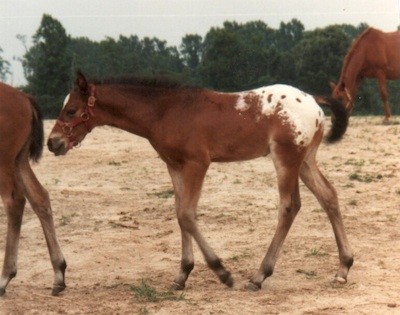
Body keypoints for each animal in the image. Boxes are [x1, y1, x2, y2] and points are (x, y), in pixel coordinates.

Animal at [0, 82, 66, 298]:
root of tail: (24, 98)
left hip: (5, 161)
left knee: (15, 201)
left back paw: (4, 278)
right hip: (19, 161)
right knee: (39, 197)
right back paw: (59, 274)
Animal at [47, 73, 354, 292]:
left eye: (71, 110)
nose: (52, 143)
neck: (166, 111)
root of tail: (313, 100)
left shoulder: (198, 163)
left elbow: (187, 214)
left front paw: (222, 272)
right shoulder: (174, 166)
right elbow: (180, 214)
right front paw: (182, 274)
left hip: (286, 160)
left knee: (289, 207)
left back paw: (259, 276)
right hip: (305, 161)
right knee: (329, 196)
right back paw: (343, 268)